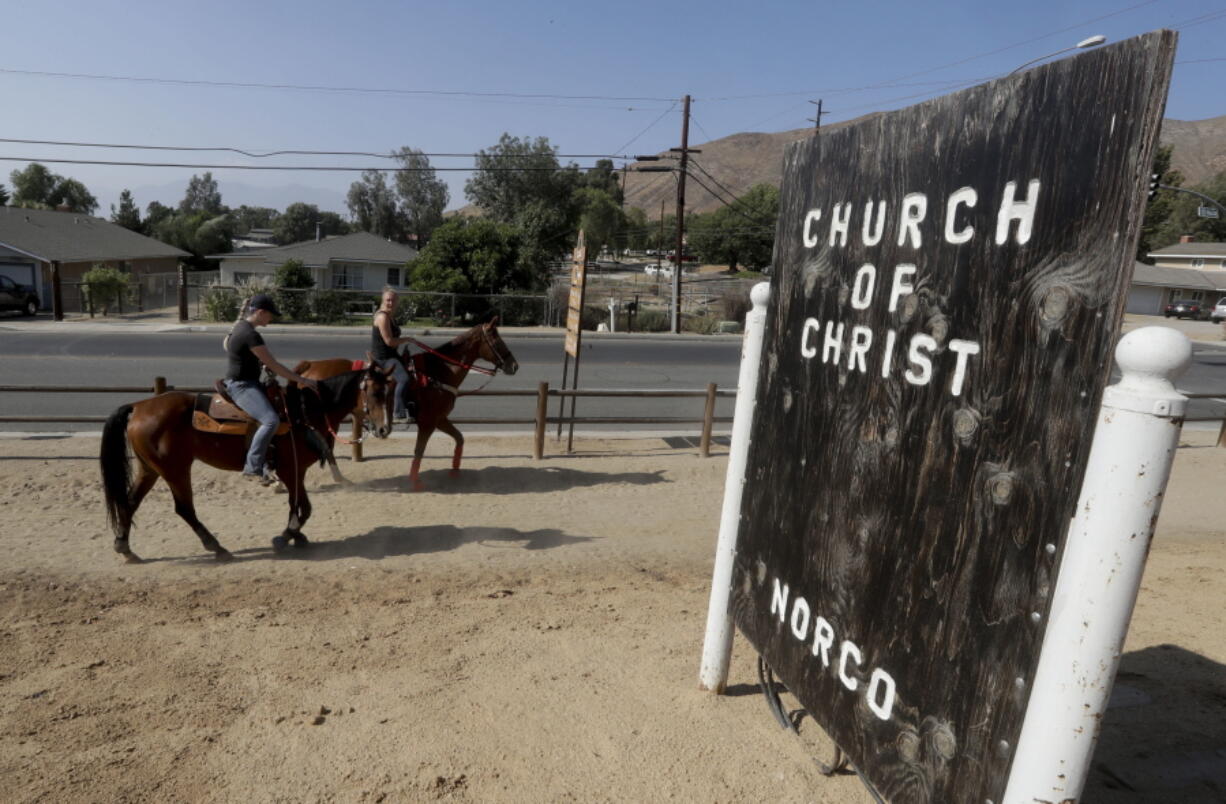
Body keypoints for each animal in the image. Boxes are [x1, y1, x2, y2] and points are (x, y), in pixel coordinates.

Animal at [103, 367, 397, 561]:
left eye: (390, 391)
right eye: (374, 392)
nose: (384, 429)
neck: (302, 412)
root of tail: (139, 406)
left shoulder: (296, 470)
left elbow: (301, 505)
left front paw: (297, 536)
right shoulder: (290, 470)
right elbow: (300, 506)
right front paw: (285, 535)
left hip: (150, 469)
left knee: (130, 502)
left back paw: (124, 547)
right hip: (175, 469)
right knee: (184, 508)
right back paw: (216, 547)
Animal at [301, 313, 522, 490]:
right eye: (497, 339)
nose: (514, 365)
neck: (437, 372)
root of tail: (310, 365)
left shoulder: (440, 419)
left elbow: (459, 439)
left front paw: (454, 472)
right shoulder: (428, 422)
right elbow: (419, 450)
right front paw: (415, 482)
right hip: (329, 420)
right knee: (325, 447)